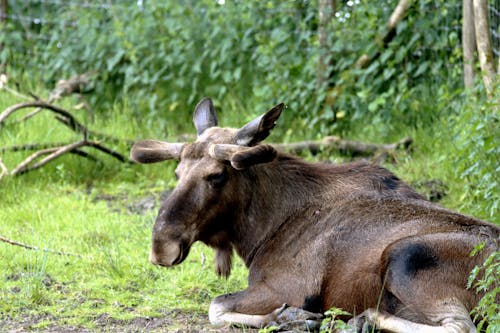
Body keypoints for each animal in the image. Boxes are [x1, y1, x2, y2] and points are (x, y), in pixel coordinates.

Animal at [131, 98, 498, 332]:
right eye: (177, 172)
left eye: (217, 175)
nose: (161, 246)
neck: (259, 231)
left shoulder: (286, 286)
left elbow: (216, 306)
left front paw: (291, 317)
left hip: (405, 256)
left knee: (459, 327)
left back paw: (362, 318)